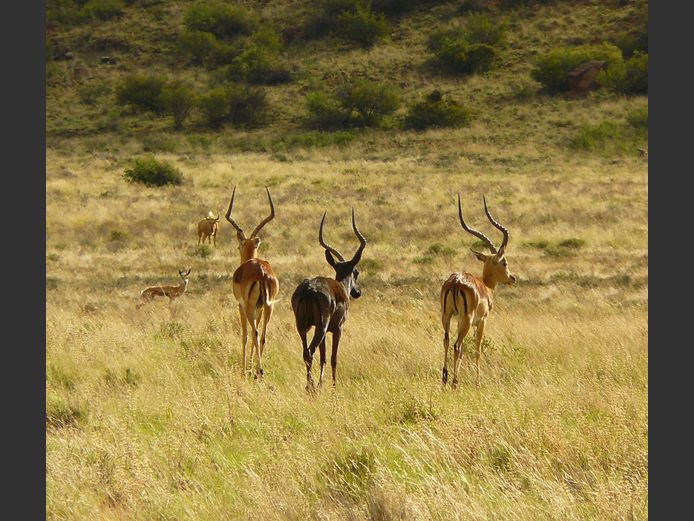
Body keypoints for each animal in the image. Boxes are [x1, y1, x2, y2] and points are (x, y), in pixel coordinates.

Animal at [225, 187, 279, 378]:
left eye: (238, 246)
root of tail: (262, 272)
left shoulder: (240, 306)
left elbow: (245, 336)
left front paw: (244, 370)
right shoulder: (260, 307)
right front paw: (250, 368)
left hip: (248, 307)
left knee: (254, 333)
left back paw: (259, 371)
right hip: (269, 306)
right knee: (263, 335)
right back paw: (258, 371)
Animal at [291, 209, 367, 391]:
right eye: (356, 272)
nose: (357, 292)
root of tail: (309, 289)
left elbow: (324, 357)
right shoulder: (338, 329)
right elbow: (333, 358)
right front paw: (332, 387)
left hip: (302, 326)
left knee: (305, 353)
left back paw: (309, 386)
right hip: (321, 326)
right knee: (310, 352)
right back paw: (311, 388)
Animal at [441, 195, 516, 388]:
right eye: (504, 262)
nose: (512, 278)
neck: (486, 287)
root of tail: (455, 282)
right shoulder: (482, 321)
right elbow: (477, 349)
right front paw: (478, 382)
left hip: (446, 315)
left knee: (446, 341)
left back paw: (444, 379)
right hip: (466, 320)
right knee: (457, 346)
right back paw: (454, 382)